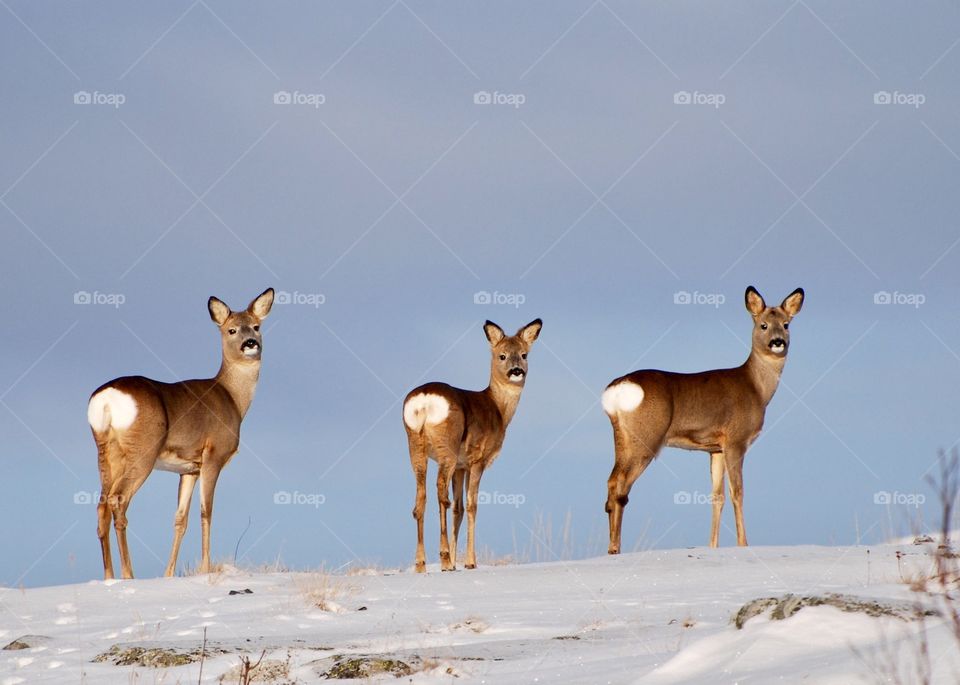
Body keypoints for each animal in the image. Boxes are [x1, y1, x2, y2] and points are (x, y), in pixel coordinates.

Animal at [87, 284, 274, 576]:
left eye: (256, 326)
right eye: (231, 330)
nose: (251, 344)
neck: (233, 398)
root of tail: (106, 398)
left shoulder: (189, 469)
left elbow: (180, 518)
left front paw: (168, 574)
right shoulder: (213, 455)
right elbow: (206, 512)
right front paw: (205, 569)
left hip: (106, 451)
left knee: (102, 504)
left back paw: (109, 576)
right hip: (143, 450)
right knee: (119, 500)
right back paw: (129, 574)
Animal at [404, 320, 544, 572]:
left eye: (524, 354)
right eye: (501, 355)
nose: (516, 370)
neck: (499, 410)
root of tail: (424, 400)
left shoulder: (461, 466)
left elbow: (459, 508)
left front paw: (458, 561)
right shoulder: (478, 459)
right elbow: (472, 505)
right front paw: (469, 562)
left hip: (415, 445)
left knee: (421, 499)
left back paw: (422, 564)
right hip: (446, 446)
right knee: (440, 493)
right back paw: (444, 559)